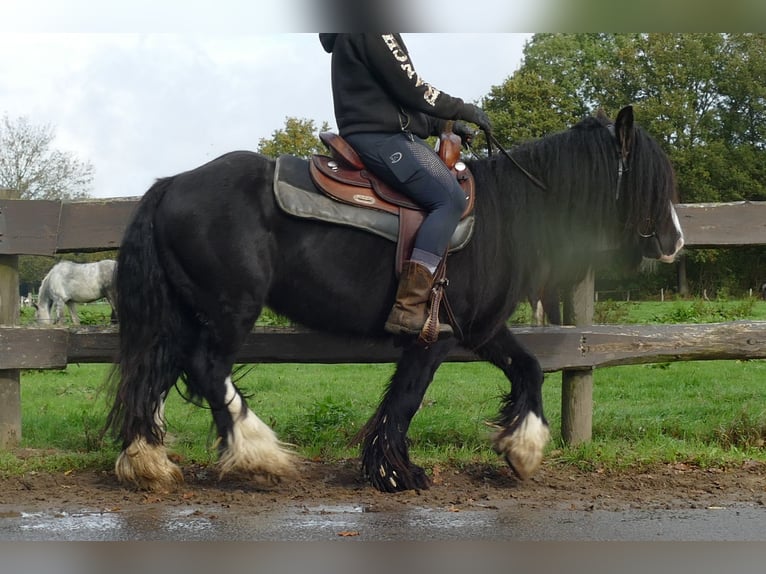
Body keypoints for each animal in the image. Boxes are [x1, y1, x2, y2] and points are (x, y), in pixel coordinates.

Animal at [105, 106, 684, 492]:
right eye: (652, 179)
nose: (675, 241)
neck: (507, 216)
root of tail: (171, 184)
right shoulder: (435, 337)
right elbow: (405, 399)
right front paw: (395, 471)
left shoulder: (480, 329)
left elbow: (530, 367)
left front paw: (523, 448)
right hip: (231, 309)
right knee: (206, 366)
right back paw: (258, 453)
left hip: (186, 313)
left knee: (159, 368)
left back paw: (147, 461)